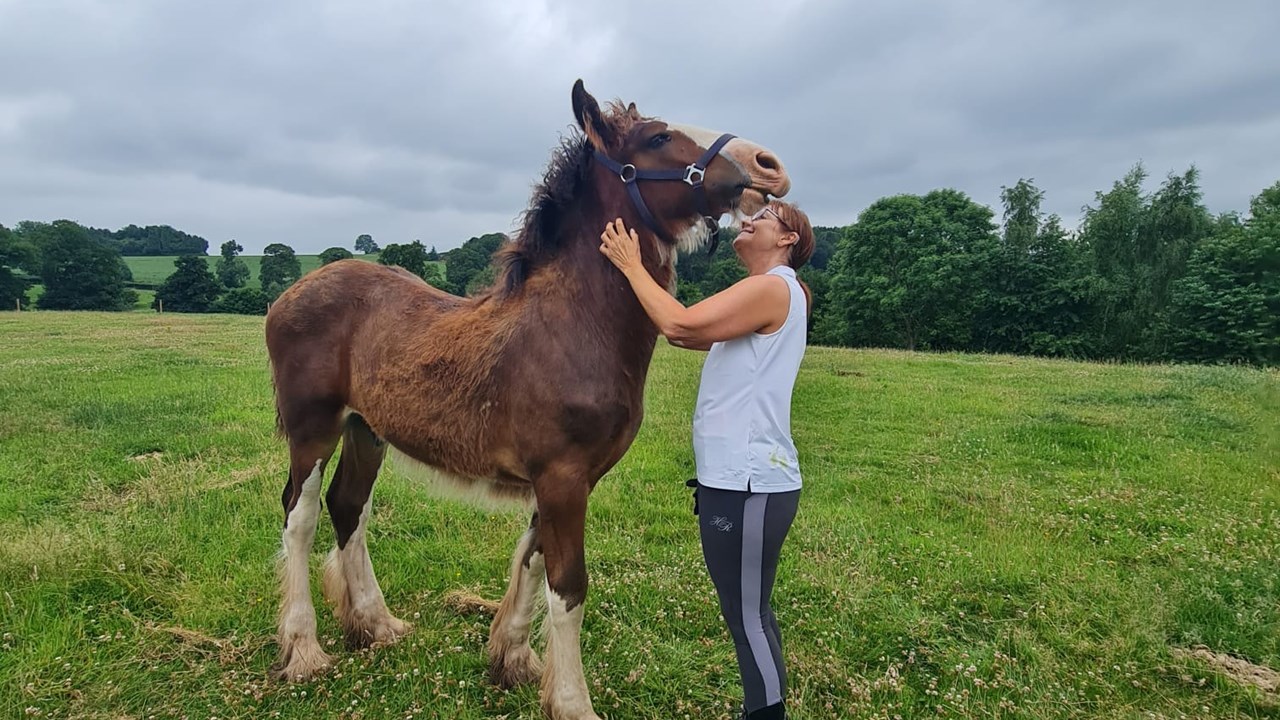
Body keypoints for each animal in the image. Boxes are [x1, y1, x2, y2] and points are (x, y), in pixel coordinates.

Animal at [264, 80, 791, 720]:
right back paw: (303, 649)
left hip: (367, 430)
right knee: (300, 516)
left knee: (349, 507)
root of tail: (288, 295)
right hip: (313, 429)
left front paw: (512, 661)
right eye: (658, 137)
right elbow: (567, 585)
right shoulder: (562, 477)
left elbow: (534, 561)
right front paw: (571, 701)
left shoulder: (565, 479)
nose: (767, 164)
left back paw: (375, 624)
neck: (572, 326)